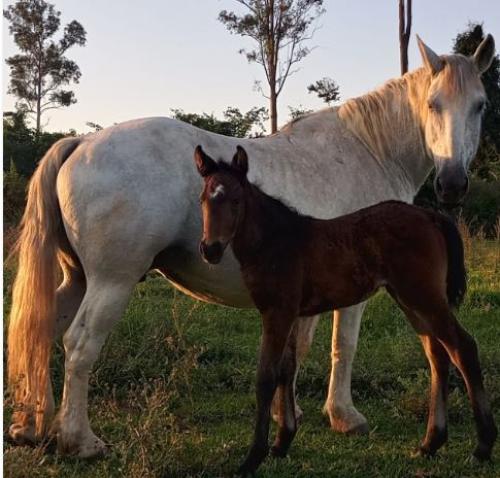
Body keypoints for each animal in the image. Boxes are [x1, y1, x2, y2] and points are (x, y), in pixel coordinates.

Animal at [193, 145, 494, 474]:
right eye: (203, 198)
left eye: (236, 200)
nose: (210, 249)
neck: (276, 242)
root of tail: (431, 216)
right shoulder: (291, 313)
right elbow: (287, 368)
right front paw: (282, 442)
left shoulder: (276, 312)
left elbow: (266, 376)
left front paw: (252, 458)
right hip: (410, 299)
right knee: (437, 354)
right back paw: (430, 443)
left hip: (423, 296)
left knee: (463, 347)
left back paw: (482, 446)